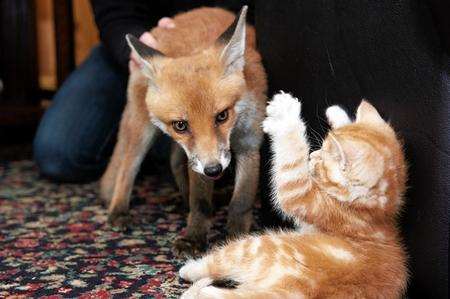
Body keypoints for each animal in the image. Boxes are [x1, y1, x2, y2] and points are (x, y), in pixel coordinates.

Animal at [178, 92, 408, 298]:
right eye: (320, 151)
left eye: (321, 160)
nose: (313, 156)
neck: (370, 211)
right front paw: (339, 114)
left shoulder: (304, 197)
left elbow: (292, 162)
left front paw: (286, 115)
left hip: (256, 245)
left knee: (213, 267)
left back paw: (189, 270)